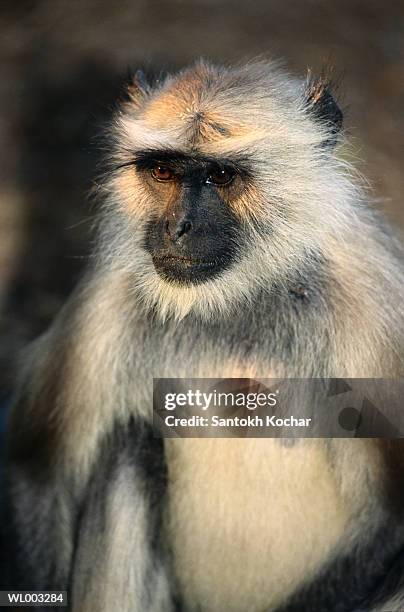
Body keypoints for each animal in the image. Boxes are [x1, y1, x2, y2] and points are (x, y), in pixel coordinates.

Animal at [2, 58, 404, 612]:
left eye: (222, 175)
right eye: (163, 171)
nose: (178, 228)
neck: (235, 299)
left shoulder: (370, 300)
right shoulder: (110, 295)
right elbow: (38, 469)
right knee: (130, 447)